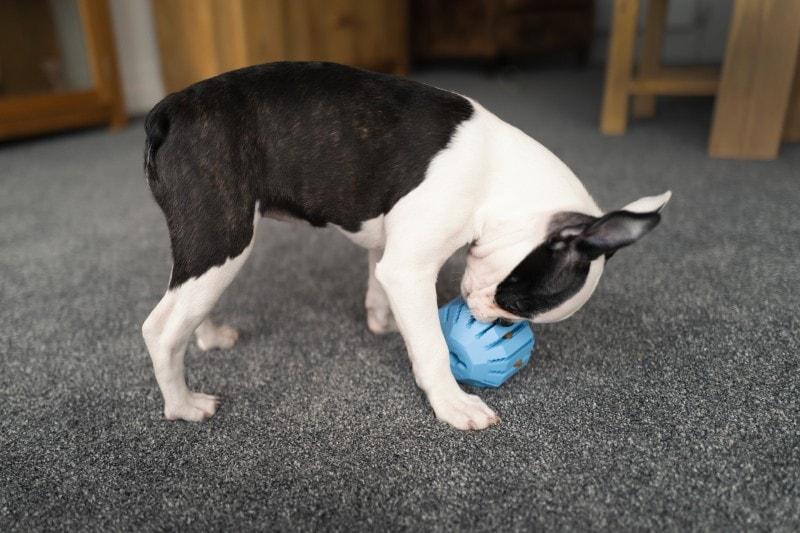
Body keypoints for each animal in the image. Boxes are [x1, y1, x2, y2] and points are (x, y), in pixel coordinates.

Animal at [139, 61, 668, 428]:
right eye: (514, 304)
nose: (494, 322)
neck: (500, 179)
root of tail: (169, 110)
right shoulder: (410, 268)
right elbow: (432, 346)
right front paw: (452, 403)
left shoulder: (392, 251)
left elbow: (378, 281)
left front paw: (384, 320)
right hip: (223, 236)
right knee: (160, 329)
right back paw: (183, 405)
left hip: (204, 245)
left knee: (184, 301)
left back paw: (208, 337)